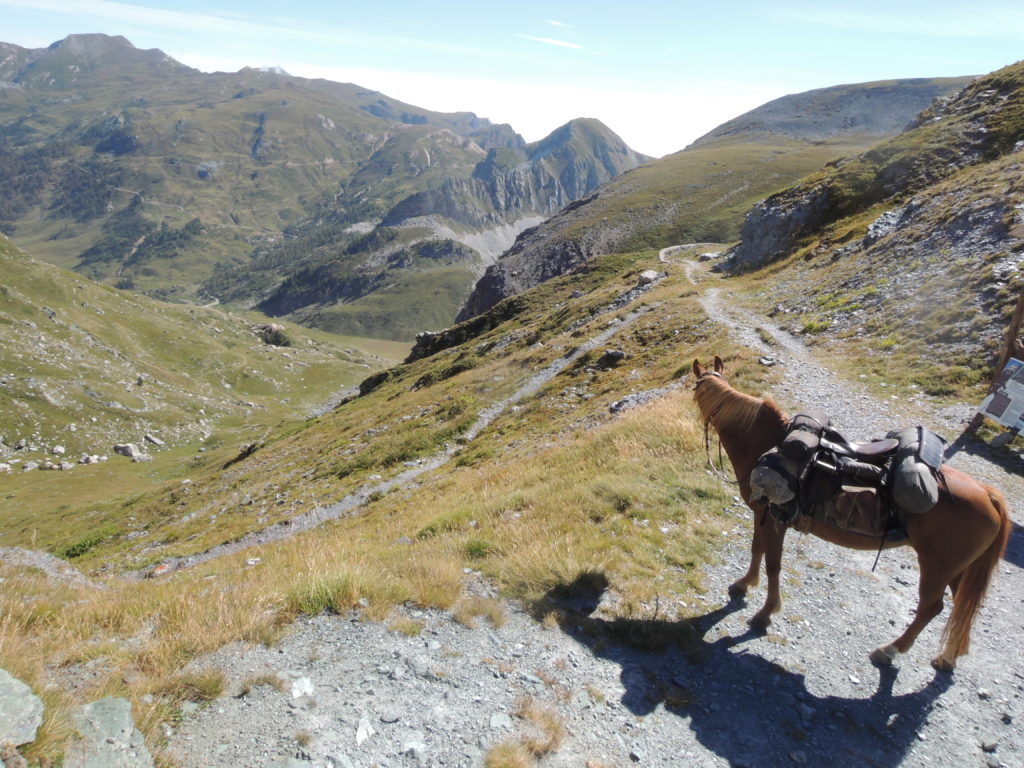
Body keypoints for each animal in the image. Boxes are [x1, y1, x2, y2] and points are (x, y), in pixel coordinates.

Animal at [692, 358, 1011, 671]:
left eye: (693, 388)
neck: (764, 443)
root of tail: (988, 494)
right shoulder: (762, 514)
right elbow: (756, 549)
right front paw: (743, 585)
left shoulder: (774, 520)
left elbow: (773, 565)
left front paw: (765, 614)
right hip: (959, 571)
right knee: (963, 606)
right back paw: (948, 657)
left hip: (937, 568)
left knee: (931, 608)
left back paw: (889, 651)